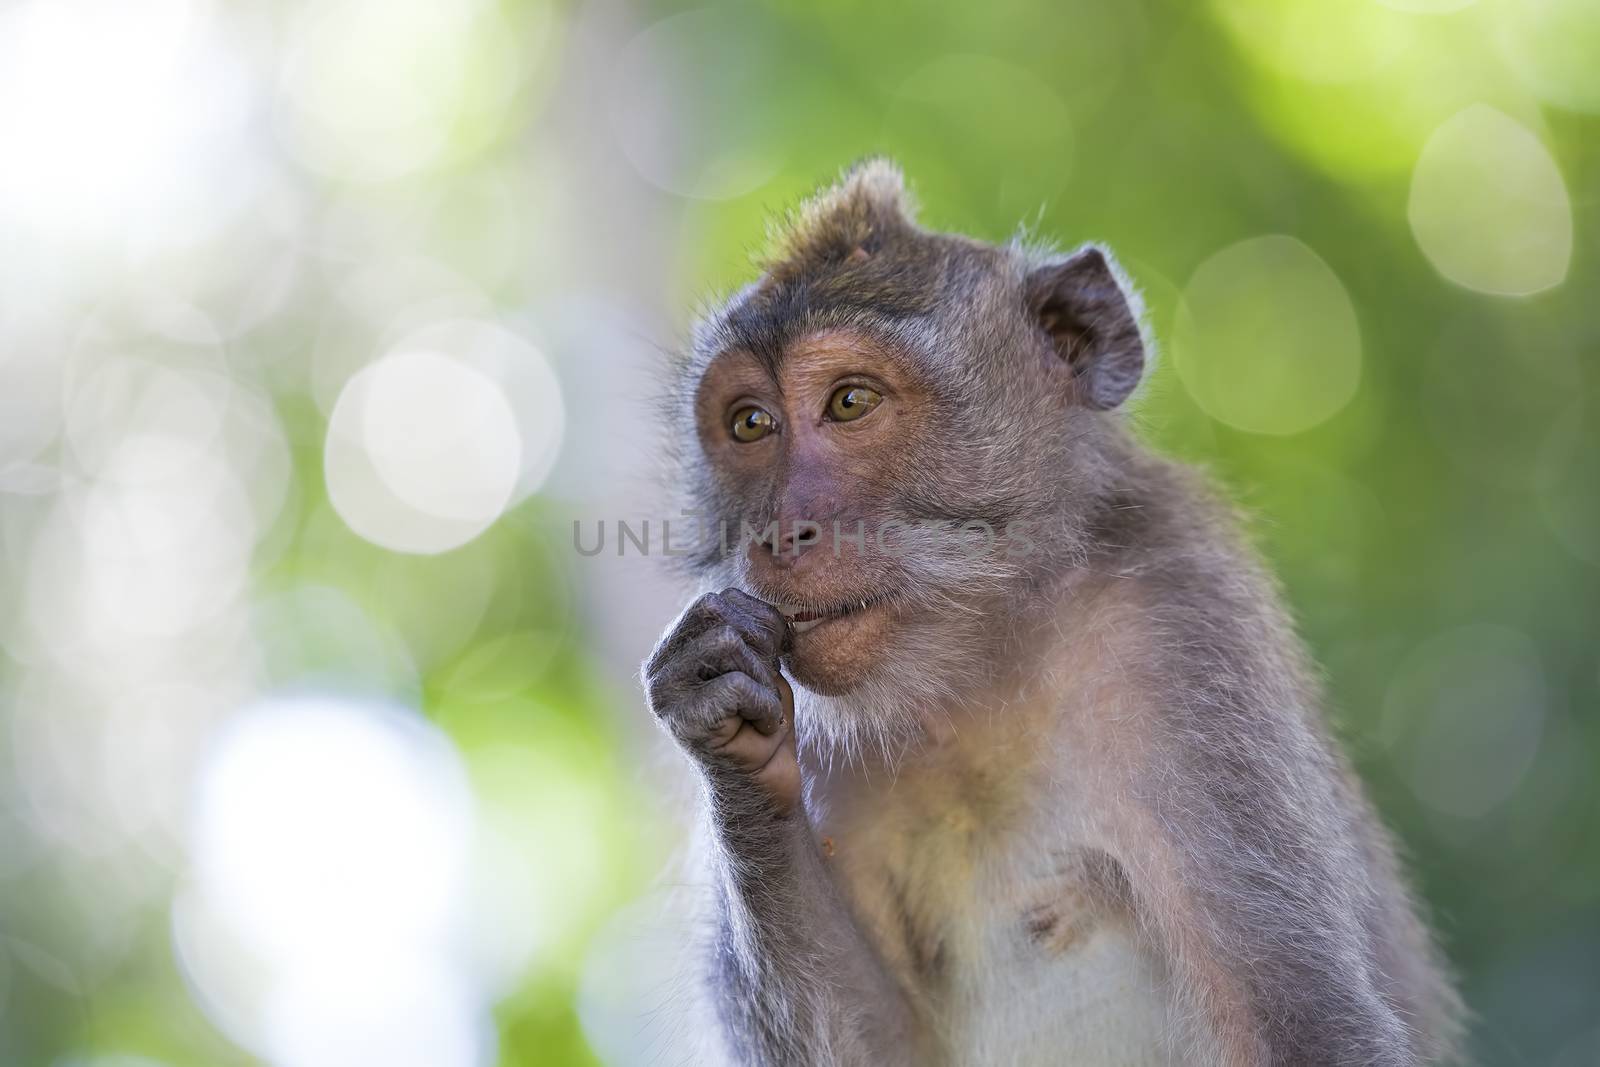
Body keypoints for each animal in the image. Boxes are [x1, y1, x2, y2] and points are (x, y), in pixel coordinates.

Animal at [636, 160, 1465, 1067]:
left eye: (850, 402)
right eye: (751, 423)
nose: (780, 531)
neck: (982, 666)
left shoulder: (1182, 634)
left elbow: (1306, 1021)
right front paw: (729, 736)